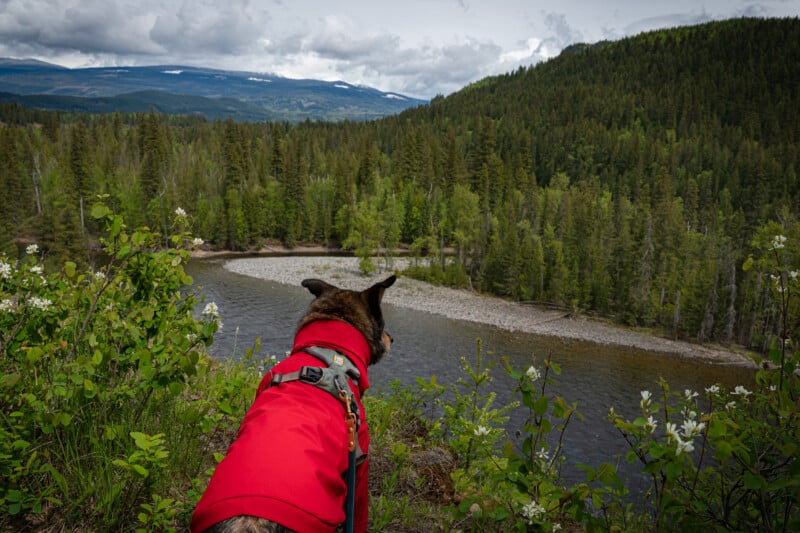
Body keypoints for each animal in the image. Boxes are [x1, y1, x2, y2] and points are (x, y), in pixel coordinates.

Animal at [191, 274, 396, 532]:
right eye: (382, 325)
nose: (392, 338)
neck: (331, 353)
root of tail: (250, 522)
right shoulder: (359, 460)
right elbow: (359, 512)